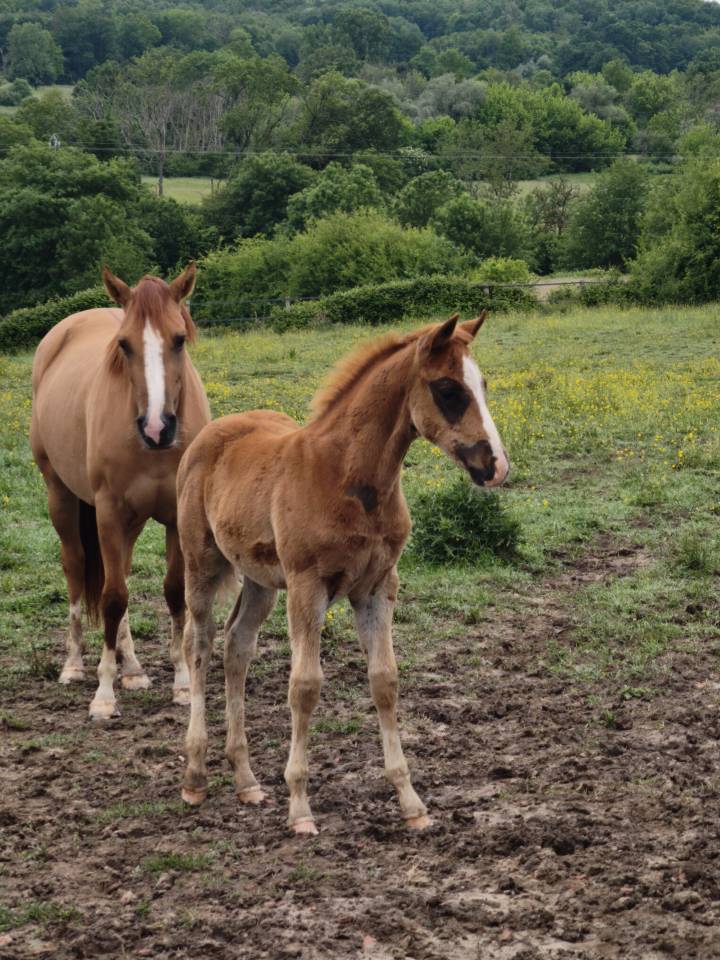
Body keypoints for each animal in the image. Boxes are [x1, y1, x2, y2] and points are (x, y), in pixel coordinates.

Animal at [30, 265, 211, 720]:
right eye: (124, 344)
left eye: (179, 339)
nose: (156, 427)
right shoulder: (109, 512)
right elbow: (112, 598)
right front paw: (104, 692)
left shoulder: (176, 515)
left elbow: (173, 592)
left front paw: (182, 682)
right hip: (62, 497)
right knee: (78, 568)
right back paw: (75, 665)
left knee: (122, 575)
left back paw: (133, 669)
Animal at [176, 311, 509, 834]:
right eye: (448, 389)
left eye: (484, 384)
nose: (495, 466)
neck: (347, 477)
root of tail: (212, 433)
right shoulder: (307, 587)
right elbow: (305, 687)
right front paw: (300, 807)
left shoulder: (377, 587)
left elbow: (385, 681)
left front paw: (411, 802)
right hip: (202, 563)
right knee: (199, 643)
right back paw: (195, 776)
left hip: (261, 580)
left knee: (237, 646)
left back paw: (246, 780)